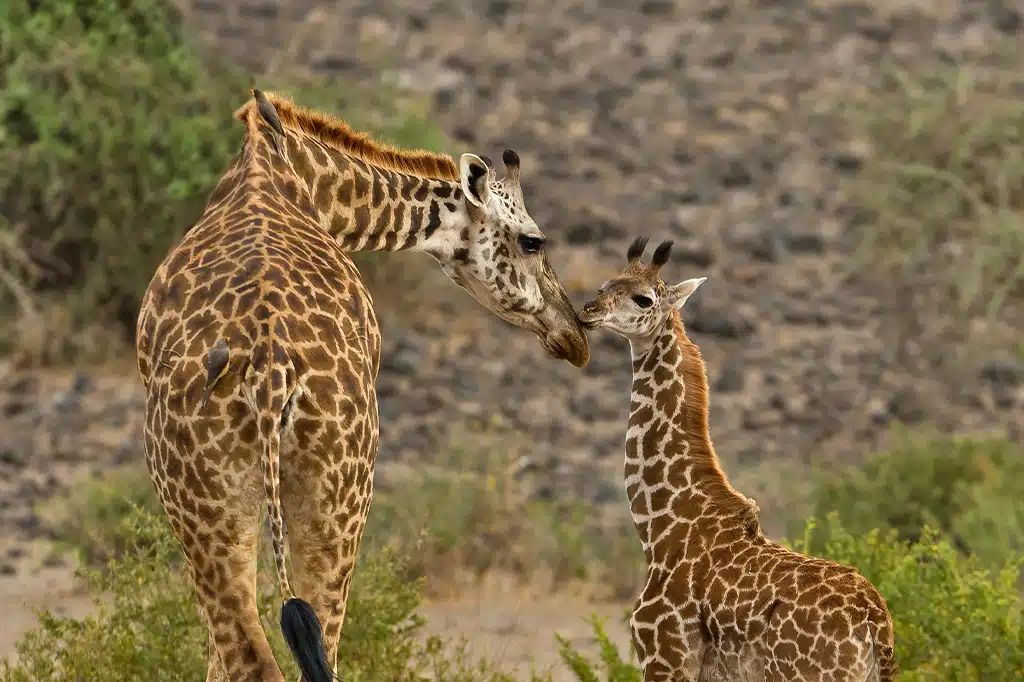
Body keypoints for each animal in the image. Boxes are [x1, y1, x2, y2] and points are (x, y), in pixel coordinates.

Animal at [134, 90, 590, 682]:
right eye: (533, 241)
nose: (575, 333)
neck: (296, 170)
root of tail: (270, 370)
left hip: (250, 504)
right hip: (305, 500)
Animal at [577, 237, 896, 682]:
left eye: (644, 299)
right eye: (606, 285)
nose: (588, 310)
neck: (659, 529)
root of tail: (874, 623)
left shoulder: (664, 658)